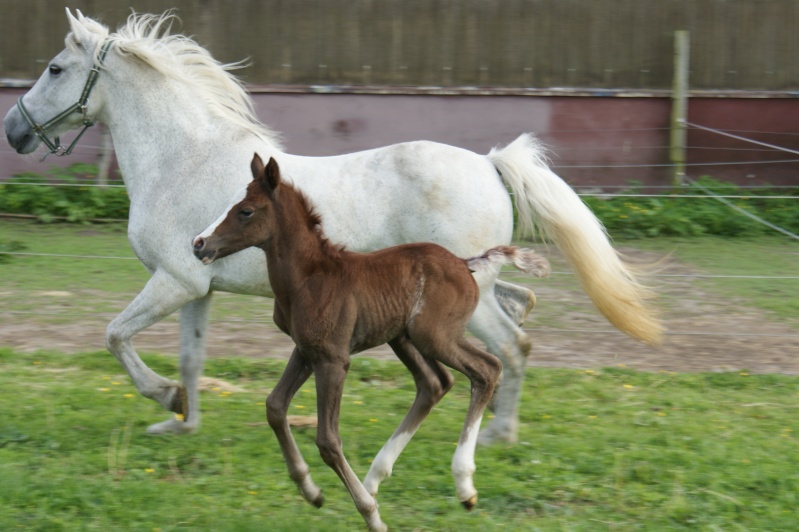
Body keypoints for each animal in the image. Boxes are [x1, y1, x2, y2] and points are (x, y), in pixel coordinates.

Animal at [3, 11, 660, 444]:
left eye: (56, 68)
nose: (12, 130)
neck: (184, 159)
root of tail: (490, 163)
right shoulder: (196, 288)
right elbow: (191, 357)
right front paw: (180, 420)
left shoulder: (174, 282)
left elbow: (115, 336)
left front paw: (164, 397)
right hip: (479, 283)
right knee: (520, 308)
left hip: (467, 297)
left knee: (513, 344)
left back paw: (498, 437)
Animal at [192, 155, 552, 532]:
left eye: (246, 211)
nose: (199, 243)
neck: (308, 277)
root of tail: (464, 263)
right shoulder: (305, 350)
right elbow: (275, 407)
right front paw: (311, 490)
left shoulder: (334, 359)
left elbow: (327, 439)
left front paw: (370, 514)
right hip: (403, 338)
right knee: (435, 383)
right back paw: (375, 478)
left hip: (434, 336)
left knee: (487, 369)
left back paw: (463, 485)